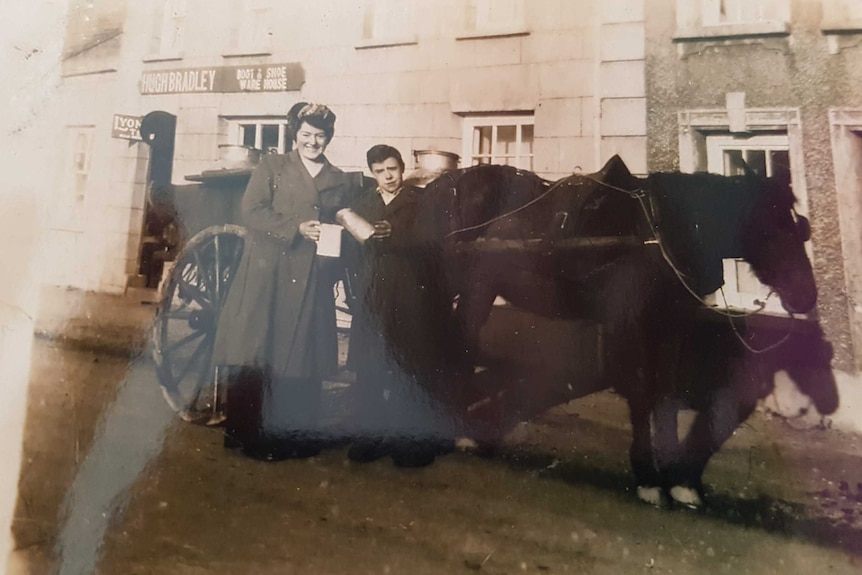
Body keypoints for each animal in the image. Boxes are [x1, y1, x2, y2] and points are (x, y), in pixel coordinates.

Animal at [418, 156, 832, 508]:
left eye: (800, 226)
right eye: (769, 227)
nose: (806, 294)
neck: (663, 234)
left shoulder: (670, 324)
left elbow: (665, 395)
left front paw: (674, 479)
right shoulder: (629, 322)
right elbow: (641, 391)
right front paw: (648, 478)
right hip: (477, 288)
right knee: (461, 347)